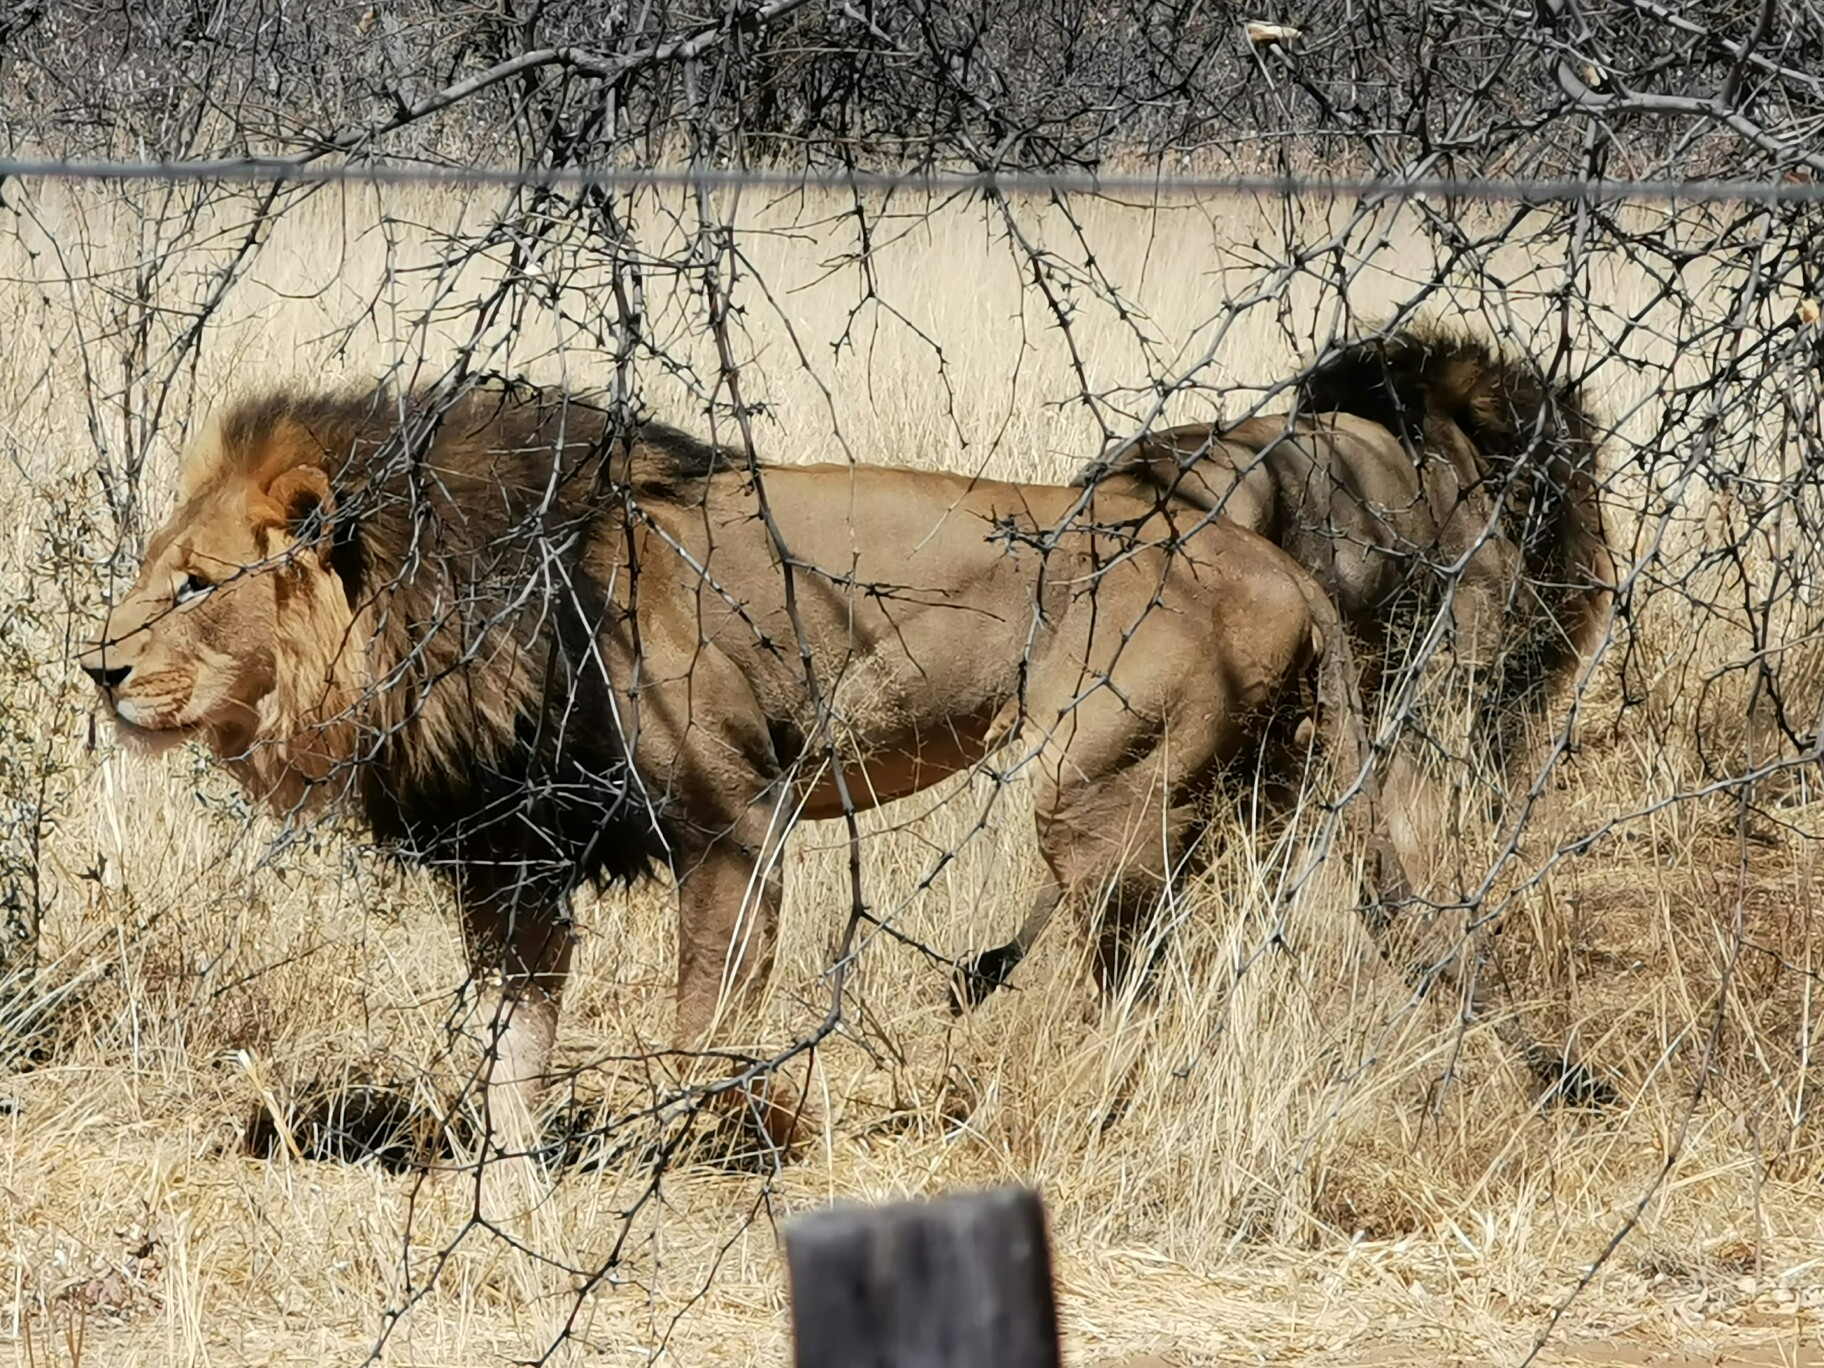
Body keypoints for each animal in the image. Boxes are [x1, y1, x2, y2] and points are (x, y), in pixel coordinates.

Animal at [78, 377, 1400, 1167]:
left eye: (196, 585)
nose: (96, 669)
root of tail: (1285, 568)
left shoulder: (734, 824)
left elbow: (701, 1020)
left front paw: (729, 1142)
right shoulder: (514, 864)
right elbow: (516, 1041)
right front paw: (511, 1184)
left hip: (1102, 793)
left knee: (1137, 975)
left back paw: (1077, 1097)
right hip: (1243, 795)